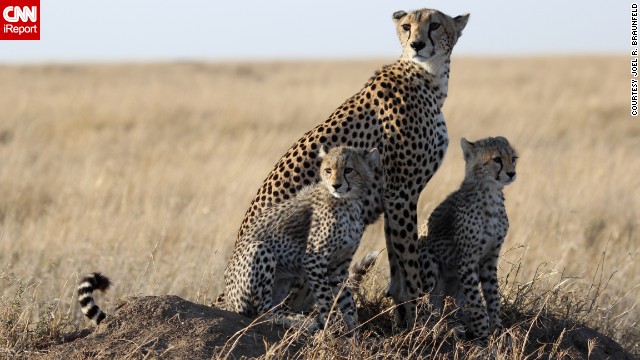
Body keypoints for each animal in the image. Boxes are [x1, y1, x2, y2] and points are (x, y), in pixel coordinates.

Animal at [224, 145, 380, 330]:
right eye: (328, 170)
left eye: (348, 170)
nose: (336, 185)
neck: (348, 202)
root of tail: (226, 300)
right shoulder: (313, 259)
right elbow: (326, 299)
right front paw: (331, 327)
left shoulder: (338, 266)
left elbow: (347, 301)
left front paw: (353, 331)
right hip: (260, 248)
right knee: (262, 312)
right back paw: (299, 321)